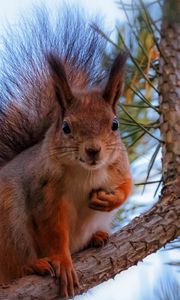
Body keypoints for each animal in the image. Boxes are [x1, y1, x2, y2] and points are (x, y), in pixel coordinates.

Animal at [0, 6, 132, 298]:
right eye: (66, 127)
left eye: (115, 124)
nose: (93, 150)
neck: (86, 172)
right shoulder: (45, 192)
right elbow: (54, 231)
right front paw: (62, 260)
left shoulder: (119, 165)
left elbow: (128, 186)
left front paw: (110, 199)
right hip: (8, 224)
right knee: (14, 267)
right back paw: (34, 265)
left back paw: (97, 236)